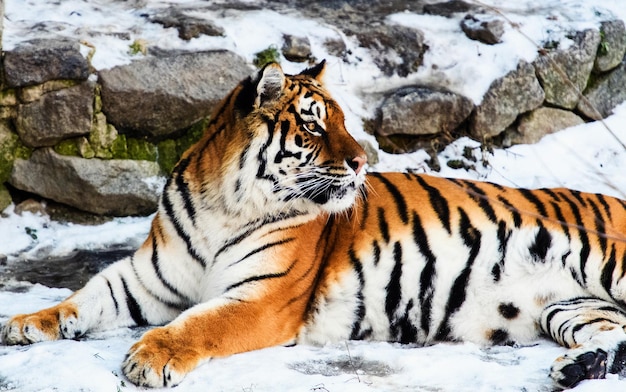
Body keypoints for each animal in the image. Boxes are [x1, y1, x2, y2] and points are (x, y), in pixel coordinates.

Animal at [3, 61, 624, 388]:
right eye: (315, 126)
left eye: (344, 122)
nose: (363, 162)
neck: (223, 203)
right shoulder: (147, 279)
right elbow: (85, 296)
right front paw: (27, 322)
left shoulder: (262, 299)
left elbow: (199, 324)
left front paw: (150, 358)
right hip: (569, 308)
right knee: (615, 335)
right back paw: (577, 366)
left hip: (606, 265)